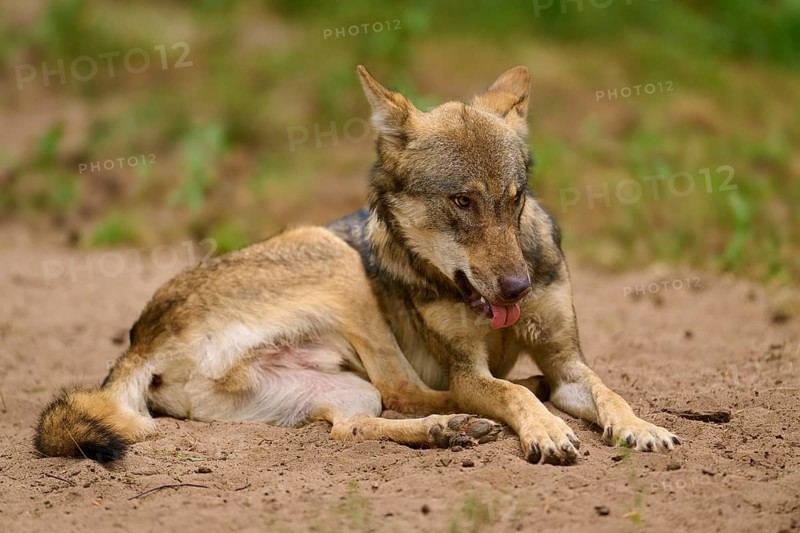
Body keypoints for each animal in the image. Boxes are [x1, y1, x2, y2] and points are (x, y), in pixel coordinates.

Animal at [35, 65, 680, 465]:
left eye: (513, 199)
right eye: (461, 202)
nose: (517, 289)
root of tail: (139, 338)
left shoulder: (569, 361)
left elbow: (610, 392)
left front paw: (642, 428)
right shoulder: (468, 370)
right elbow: (502, 393)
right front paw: (544, 427)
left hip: (345, 388)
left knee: (355, 424)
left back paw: (449, 430)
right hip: (334, 261)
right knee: (413, 392)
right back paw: (467, 421)